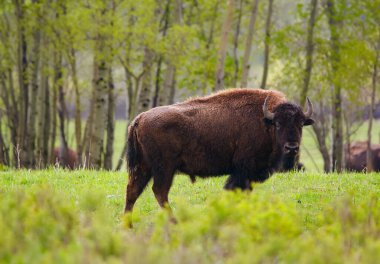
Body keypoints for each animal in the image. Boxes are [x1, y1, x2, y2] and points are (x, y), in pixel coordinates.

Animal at [124, 88, 314, 212]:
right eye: (278, 124)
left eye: (300, 124)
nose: (292, 147)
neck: (265, 121)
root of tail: (139, 118)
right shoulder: (244, 171)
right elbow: (235, 190)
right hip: (164, 168)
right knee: (159, 191)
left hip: (144, 167)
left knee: (133, 191)